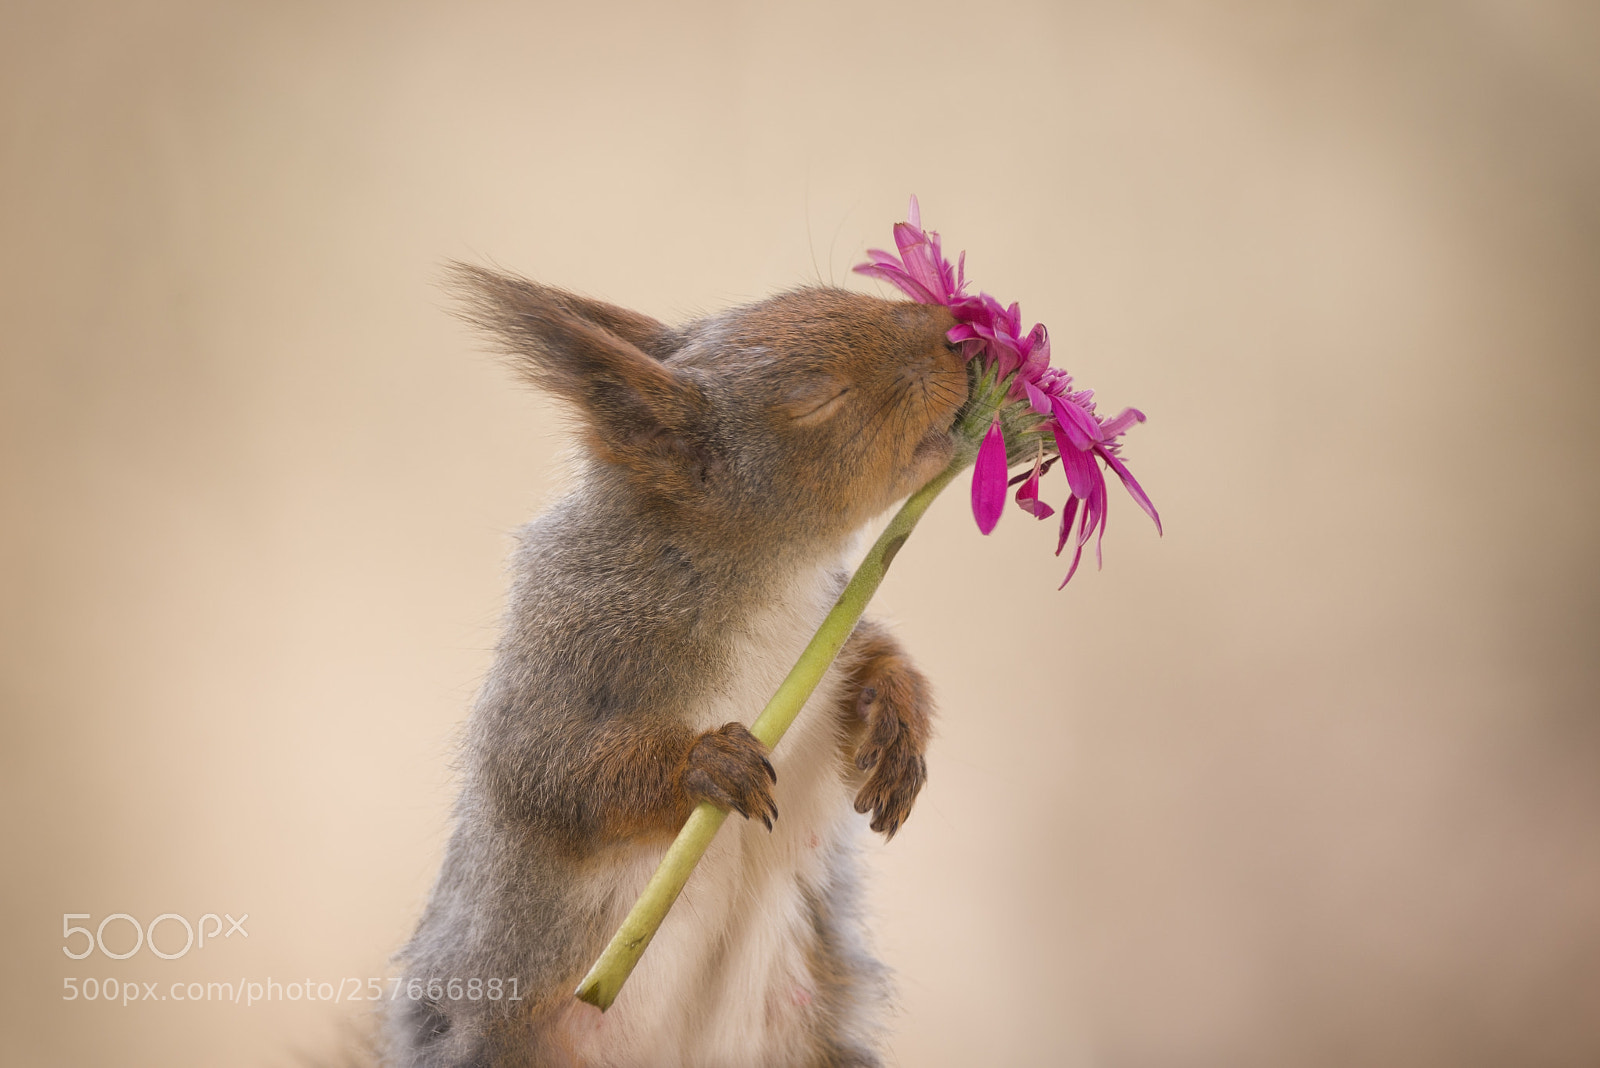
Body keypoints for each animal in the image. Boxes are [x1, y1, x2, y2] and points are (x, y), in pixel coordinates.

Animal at [384, 265, 968, 1068]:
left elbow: (876, 656)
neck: (764, 572)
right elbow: (549, 770)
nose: (959, 335)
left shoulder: (830, 631)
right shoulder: (567, 647)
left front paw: (898, 722)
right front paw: (705, 764)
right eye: (818, 396)